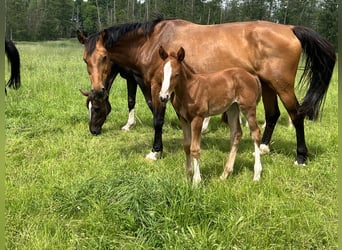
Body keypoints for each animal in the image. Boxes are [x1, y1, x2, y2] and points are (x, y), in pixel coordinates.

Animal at [77, 18, 334, 165]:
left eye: (104, 57)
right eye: (85, 60)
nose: (93, 131)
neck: (152, 41)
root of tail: (290, 28)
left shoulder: (155, 87)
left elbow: (158, 119)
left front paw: (155, 151)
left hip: (282, 85)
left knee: (296, 115)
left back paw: (300, 157)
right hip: (267, 84)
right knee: (272, 115)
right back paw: (262, 148)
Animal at [156, 47, 264, 185]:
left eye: (176, 74)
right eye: (161, 73)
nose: (163, 97)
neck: (189, 89)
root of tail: (253, 76)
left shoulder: (198, 118)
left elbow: (195, 148)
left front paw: (196, 181)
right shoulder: (183, 119)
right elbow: (186, 146)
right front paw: (188, 176)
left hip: (248, 108)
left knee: (255, 133)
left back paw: (256, 175)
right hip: (232, 108)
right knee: (236, 133)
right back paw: (225, 174)